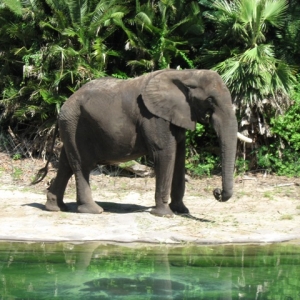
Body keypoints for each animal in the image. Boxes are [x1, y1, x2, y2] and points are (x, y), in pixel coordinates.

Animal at [33, 69, 237, 217]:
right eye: (210, 100)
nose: (216, 192)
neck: (187, 74)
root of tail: (64, 104)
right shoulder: (153, 117)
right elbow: (165, 153)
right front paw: (164, 214)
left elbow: (179, 155)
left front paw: (182, 211)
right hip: (74, 124)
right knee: (81, 165)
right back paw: (94, 211)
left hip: (70, 126)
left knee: (66, 164)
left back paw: (55, 208)